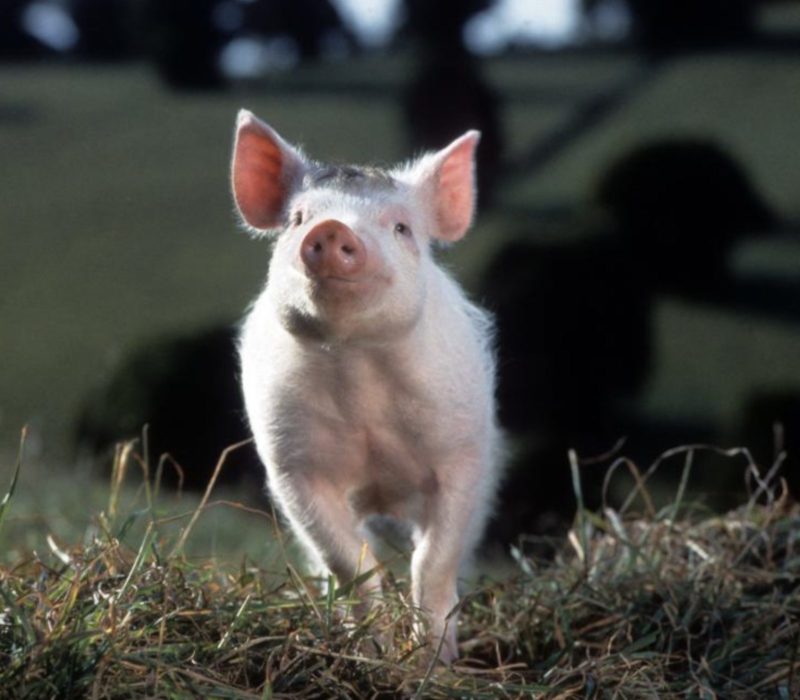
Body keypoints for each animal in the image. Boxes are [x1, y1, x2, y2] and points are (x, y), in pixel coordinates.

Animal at [231, 110, 501, 664]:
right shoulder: (294, 465)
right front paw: (374, 652)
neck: (357, 369)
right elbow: (350, 562)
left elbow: (432, 562)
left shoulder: (461, 454)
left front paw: (434, 663)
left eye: (401, 227)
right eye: (298, 219)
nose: (332, 229)